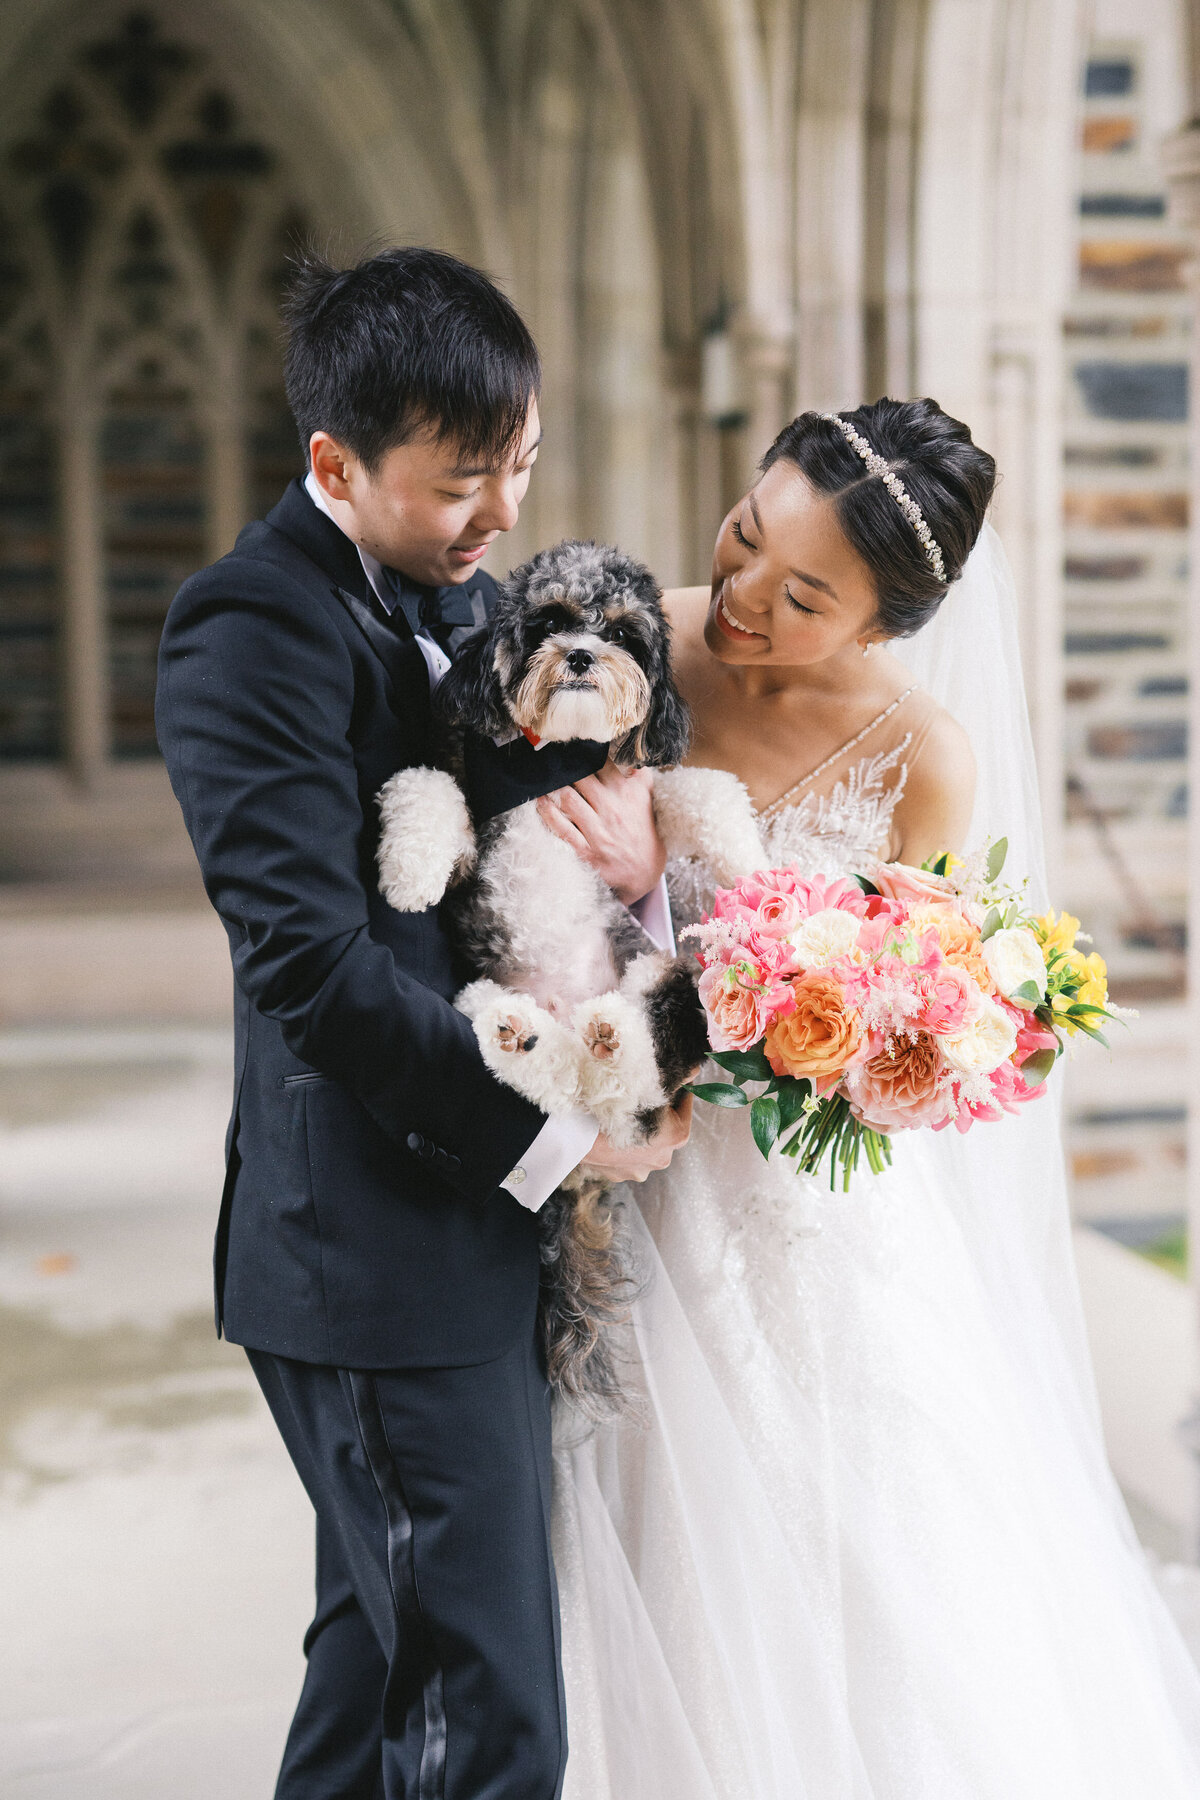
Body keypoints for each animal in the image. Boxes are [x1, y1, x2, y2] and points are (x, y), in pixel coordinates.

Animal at [377, 540, 712, 1411]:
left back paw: (607, 1035)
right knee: (565, 1086)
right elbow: (427, 786)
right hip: (482, 992)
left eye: (624, 632)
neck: (549, 762)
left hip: (666, 977)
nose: (583, 655)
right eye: (550, 620)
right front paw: (407, 874)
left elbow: (690, 793)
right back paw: (525, 1038)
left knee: (634, 1077)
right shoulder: (470, 807)